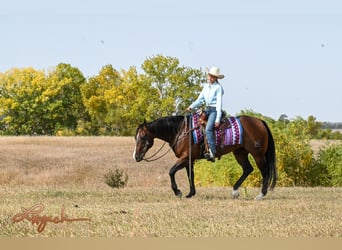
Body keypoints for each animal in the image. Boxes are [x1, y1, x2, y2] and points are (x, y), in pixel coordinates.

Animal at [132, 114, 276, 200]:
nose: (136, 157)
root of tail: (259, 121)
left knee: (265, 172)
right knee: (247, 169)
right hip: (240, 153)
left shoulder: (184, 158)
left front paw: (178, 192)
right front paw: (190, 193)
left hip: (258, 155)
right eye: (135, 137)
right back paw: (235, 191)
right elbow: (190, 175)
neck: (181, 131)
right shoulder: (189, 160)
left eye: (143, 137)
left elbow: (171, 171)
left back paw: (261, 195)